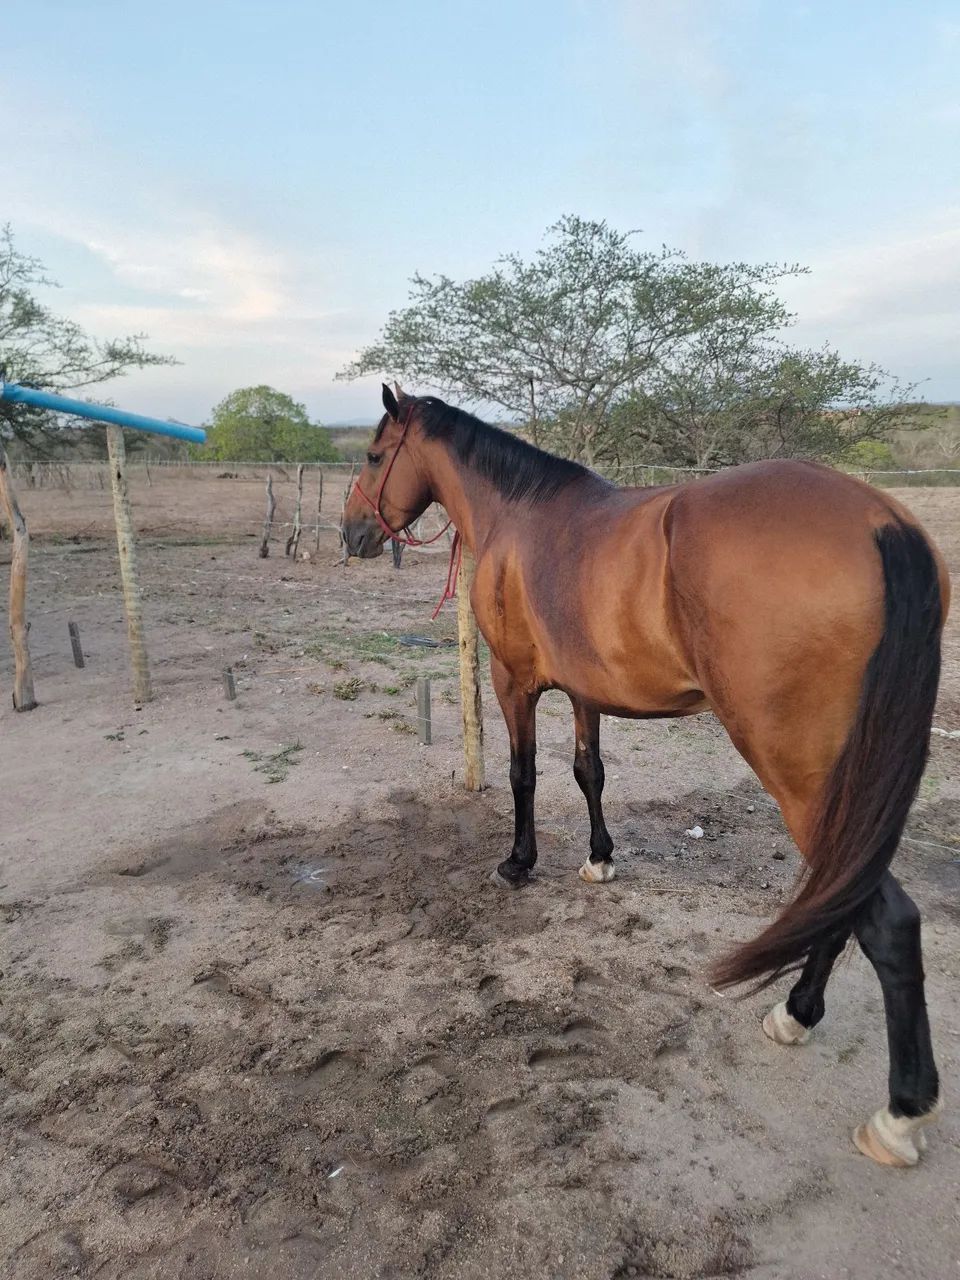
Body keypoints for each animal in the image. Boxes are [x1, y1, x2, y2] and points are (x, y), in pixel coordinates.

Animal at [342, 383, 948, 1168]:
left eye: (374, 454)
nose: (351, 533)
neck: (521, 514)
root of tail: (881, 522)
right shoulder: (584, 690)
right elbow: (588, 772)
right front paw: (599, 859)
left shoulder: (512, 682)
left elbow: (524, 774)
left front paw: (518, 862)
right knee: (840, 897)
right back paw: (796, 1014)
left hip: (806, 780)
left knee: (884, 919)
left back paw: (898, 1112)